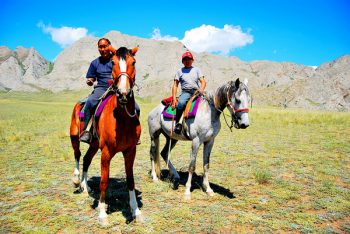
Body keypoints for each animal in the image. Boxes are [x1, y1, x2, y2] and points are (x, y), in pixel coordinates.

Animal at [69, 46, 142, 224]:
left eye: (133, 62)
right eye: (113, 62)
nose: (123, 93)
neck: (122, 119)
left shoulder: (131, 151)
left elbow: (130, 180)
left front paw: (135, 211)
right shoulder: (106, 152)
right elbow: (103, 181)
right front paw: (102, 212)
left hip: (94, 144)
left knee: (86, 159)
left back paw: (86, 188)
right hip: (74, 137)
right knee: (77, 154)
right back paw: (76, 180)